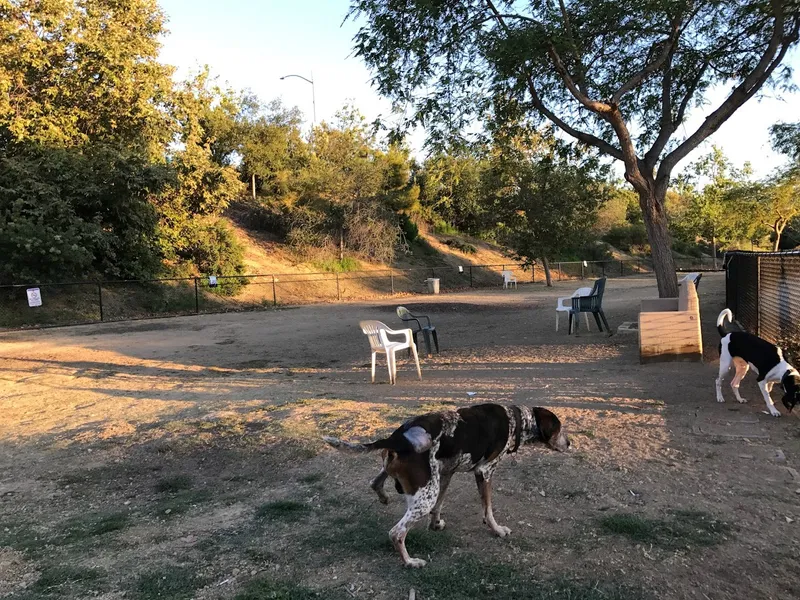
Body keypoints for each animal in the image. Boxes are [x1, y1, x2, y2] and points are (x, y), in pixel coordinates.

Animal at [322, 404, 564, 568]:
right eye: (559, 428)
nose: (569, 443)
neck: (516, 421)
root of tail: (398, 438)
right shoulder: (485, 472)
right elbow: (488, 510)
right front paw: (497, 529)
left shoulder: (446, 473)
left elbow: (440, 505)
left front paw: (435, 524)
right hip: (423, 499)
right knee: (396, 533)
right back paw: (410, 562)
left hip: (416, 481)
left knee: (375, 482)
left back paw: (383, 496)